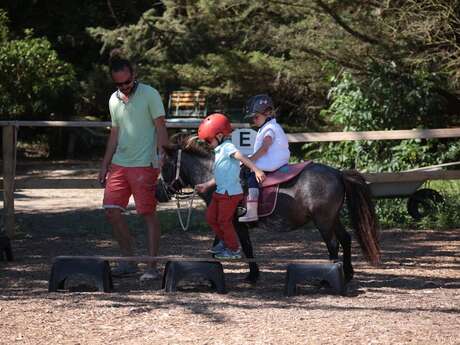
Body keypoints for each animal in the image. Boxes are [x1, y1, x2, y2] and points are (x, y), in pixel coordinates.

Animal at [158, 134, 380, 282]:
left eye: (165, 166)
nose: (160, 193)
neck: (218, 176)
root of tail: (338, 173)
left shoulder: (236, 223)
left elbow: (246, 247)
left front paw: (252, 275)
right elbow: (220, 241)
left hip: (323, 221)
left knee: (333, 244)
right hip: (333, 218)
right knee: (346, 239)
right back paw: (348, 273)